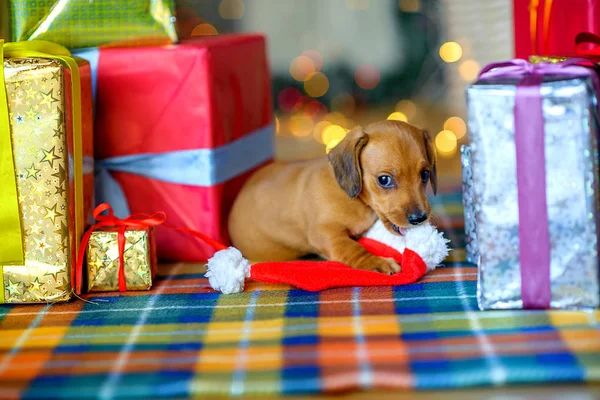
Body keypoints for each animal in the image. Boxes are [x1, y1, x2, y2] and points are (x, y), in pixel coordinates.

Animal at [227, 120, 438, 274]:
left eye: (425, 174)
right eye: (384, 180)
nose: (419, 218)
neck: (355, 199)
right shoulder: (326, 234)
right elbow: (353, 249)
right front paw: (377, 262)